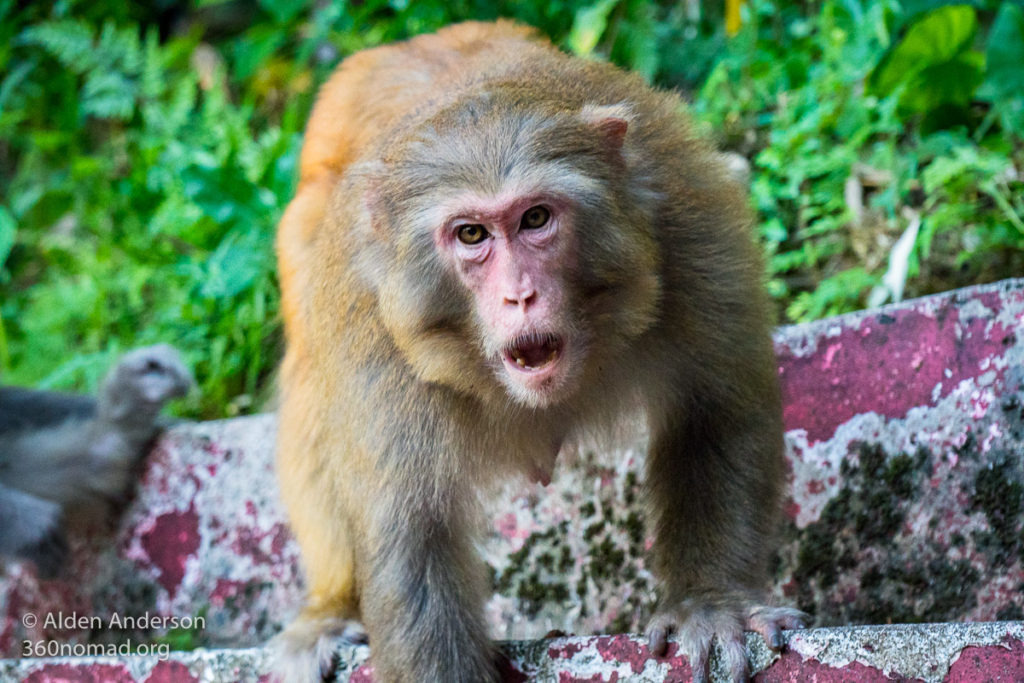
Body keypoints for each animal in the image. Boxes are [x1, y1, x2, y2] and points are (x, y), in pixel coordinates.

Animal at [276, 20, 802, 683]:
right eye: (472, 234)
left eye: (535, 219)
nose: (519, 296)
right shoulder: (372, 328)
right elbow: (411, 535)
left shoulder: (688, 230)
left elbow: (715, 413)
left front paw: (710, 603)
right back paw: (328, 610)